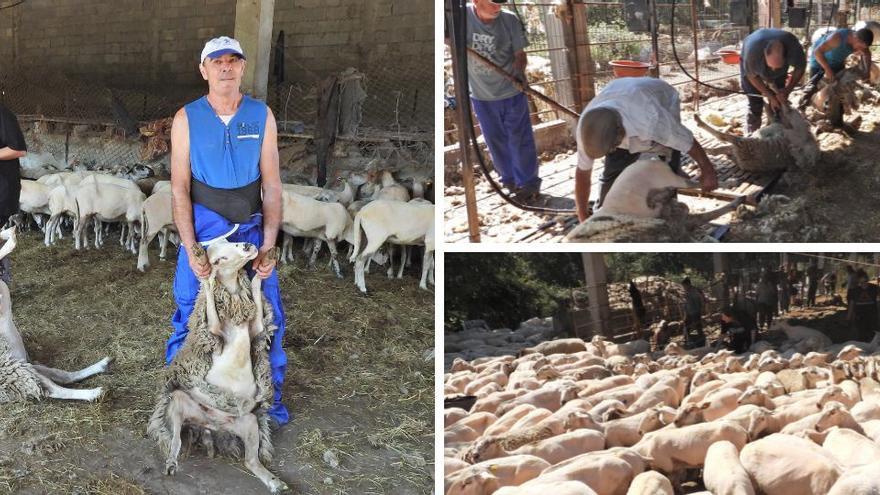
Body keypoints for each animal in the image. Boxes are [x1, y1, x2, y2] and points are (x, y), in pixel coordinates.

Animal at [147, 239, 286, 492]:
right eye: (219, 258)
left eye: (231, 241)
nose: (248, 245)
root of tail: (210, 426)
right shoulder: (214, 333)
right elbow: (209, 292)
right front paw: (203, 267)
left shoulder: (258, 328)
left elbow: (255, 286)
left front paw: (268, 259)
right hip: (177, 401)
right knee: (175, 439)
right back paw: (171, 463)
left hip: (249, 422)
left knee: (251, 461)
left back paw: (275, 483)